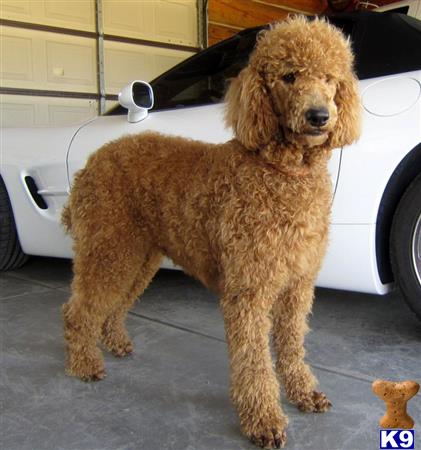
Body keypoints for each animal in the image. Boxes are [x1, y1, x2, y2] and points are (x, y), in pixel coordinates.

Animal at [64, 15, 360, 448]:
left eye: (329, 78)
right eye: (289, 76)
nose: (320, 116)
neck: (282, 171)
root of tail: (91, 162)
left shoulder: (297, 285)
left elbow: (291, 346)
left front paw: (303, 392)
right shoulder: (248, 291)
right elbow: (254, 361)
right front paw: (264, 420)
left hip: (139, 255)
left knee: (113, 304)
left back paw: (114, 342)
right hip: (109, 245)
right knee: (80, 309)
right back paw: (83, 362)